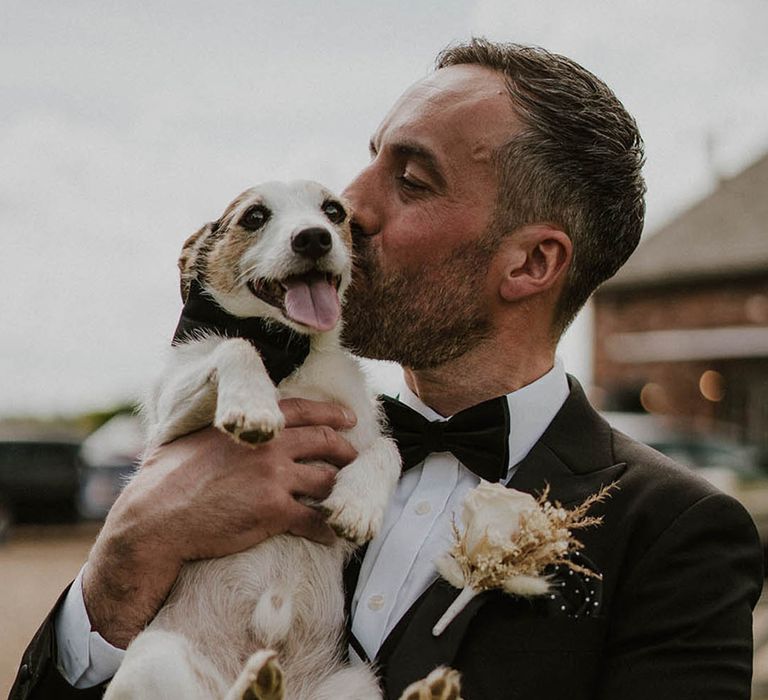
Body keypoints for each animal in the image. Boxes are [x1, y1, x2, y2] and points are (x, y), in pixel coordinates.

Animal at [104, 182, 460, 700]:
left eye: (334, 211)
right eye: (254, 216)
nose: (313, 237)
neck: (292, 349)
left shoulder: (360, 427)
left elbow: (388, 448)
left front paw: (357, 504)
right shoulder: (169, 419)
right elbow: (237, 345)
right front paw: (254, 405)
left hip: (356, 683)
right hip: (156, 658)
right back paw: (255, 682)